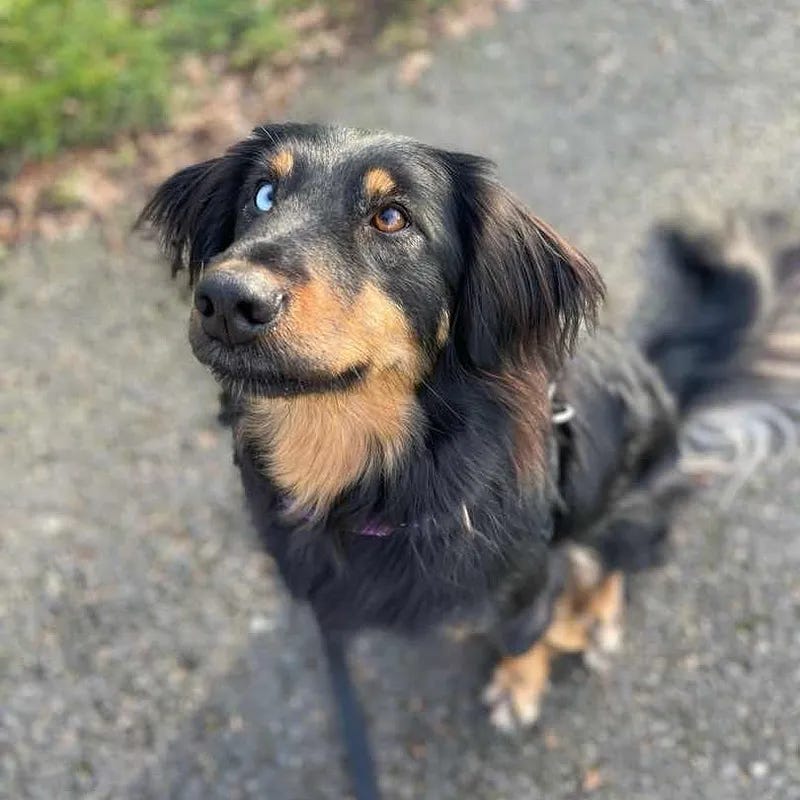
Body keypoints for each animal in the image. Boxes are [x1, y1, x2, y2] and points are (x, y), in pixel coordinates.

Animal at [139, 123, 800, 732]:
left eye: (391, 217)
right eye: (264, 195)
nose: (227, 301)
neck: (374, 481)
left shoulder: (524, 588)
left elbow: (525, 636)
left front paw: (520, 685)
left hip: (629, 510)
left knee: (615, 562)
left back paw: (596, 617)